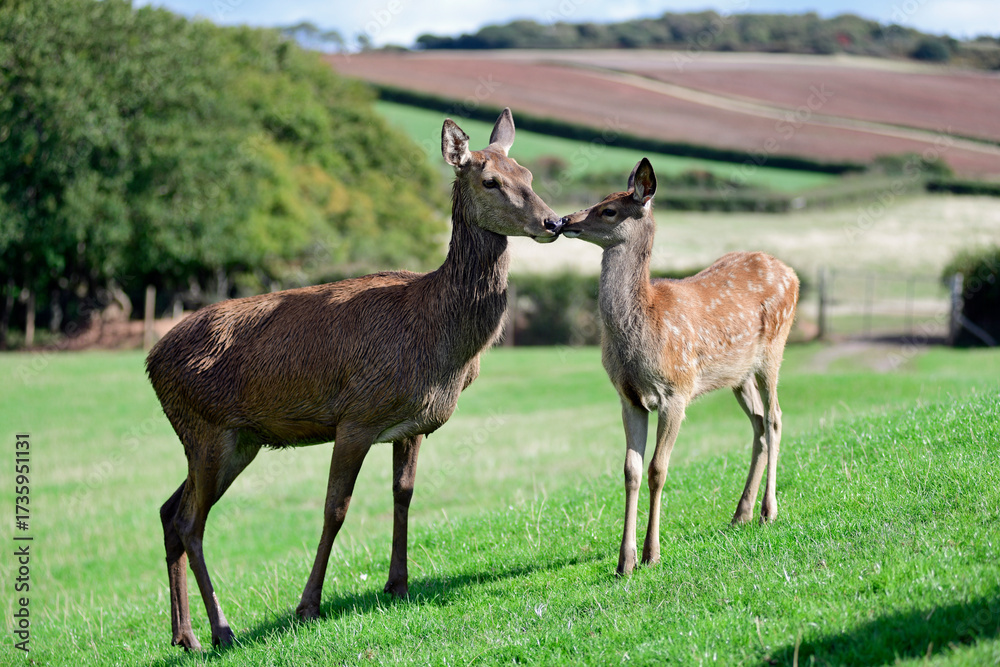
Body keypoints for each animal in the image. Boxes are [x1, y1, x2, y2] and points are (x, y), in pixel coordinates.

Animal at [146, 108, 562, 650]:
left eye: (528, 174)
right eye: (490, 180)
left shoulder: (411, 425)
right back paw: (221, 630)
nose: (554, 222)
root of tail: (150, 361)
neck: (439, 343)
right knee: (190, 521)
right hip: (205, 430)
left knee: (168, 511)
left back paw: (185, 636)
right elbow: (336, 509)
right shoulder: (356, 416)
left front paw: (398, 584)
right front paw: (307, 605)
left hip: (236, 441)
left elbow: (403, 495)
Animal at [557, 158, 799, 576]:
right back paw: (741, 513)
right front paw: (624, 561)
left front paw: (651, 554)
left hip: (773, 349)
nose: (562, 220)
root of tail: (794, 275)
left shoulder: (677, 390)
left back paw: (768, 510)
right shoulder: (628, 396)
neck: (645, 327)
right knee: (757, 423)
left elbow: (658, 468)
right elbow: (631, 470)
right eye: (600, 198)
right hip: (738, 375)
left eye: (609, 210)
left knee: (775, 417)